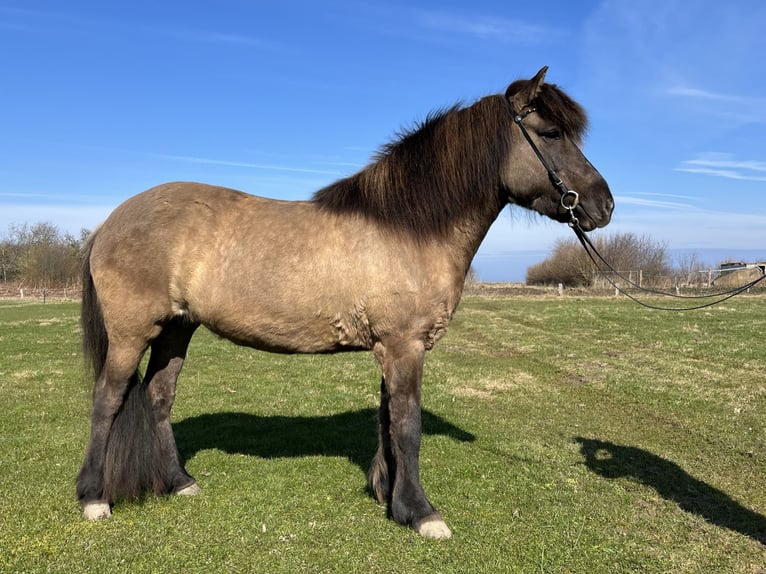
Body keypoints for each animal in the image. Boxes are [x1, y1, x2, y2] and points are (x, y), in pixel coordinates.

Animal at [76, 66, 613, 539]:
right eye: (550, 133)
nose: (604, 204)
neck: (409, 226)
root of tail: (110, 222)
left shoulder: (392, 347)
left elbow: (388, 419)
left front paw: (391, 497)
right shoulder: (404, 345)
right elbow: (408, 425)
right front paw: (422, 513)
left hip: (176, 328)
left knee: (158, 396)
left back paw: (179, 483)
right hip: (132, 333)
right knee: (108, 400)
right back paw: (94, 497)